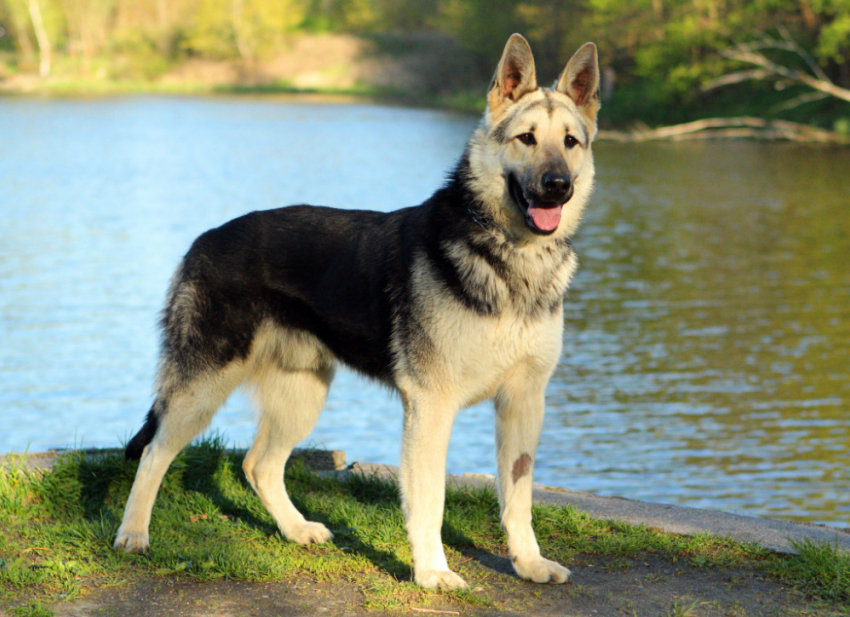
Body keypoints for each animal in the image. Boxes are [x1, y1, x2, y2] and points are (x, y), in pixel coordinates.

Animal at [112, 32, 600, 588]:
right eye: (526, 139)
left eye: (570, 143)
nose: (558, 185)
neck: (509, 256)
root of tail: (203, 239)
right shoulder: (431, 407)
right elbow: (429, 501)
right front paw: (432, 573)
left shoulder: (524, 402)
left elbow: (519, 498)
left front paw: (528, 563)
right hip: (204, 387)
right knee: (155, 452)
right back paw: (132, 534)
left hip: (302, 394)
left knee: (258, 465)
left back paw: (295, 529)